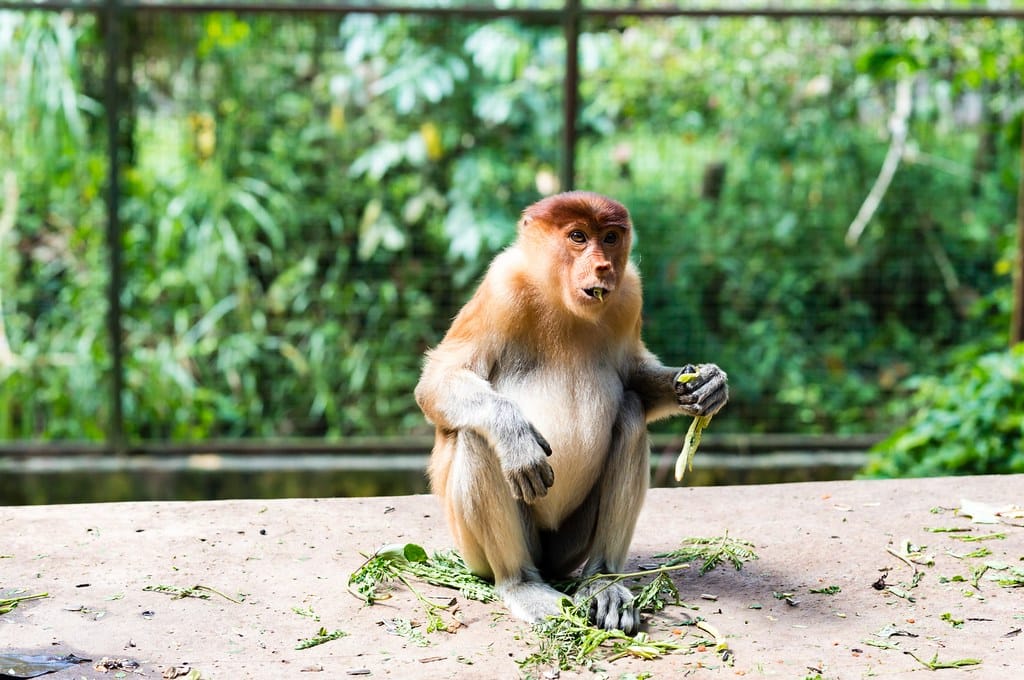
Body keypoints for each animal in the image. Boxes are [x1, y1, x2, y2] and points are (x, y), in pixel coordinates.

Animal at [414, 191, 728, 633]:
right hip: (475, 547)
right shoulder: (500, 289)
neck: (563, 302)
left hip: (568, 546)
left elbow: (633, 377)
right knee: (476, 435)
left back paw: (603, 583)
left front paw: (707, 384)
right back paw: (523, 584)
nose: (603, 267)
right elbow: (438, 380)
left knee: (630, 413)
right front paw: (514, 436)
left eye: (611, 238)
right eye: (578, 236)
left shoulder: (628, 294)